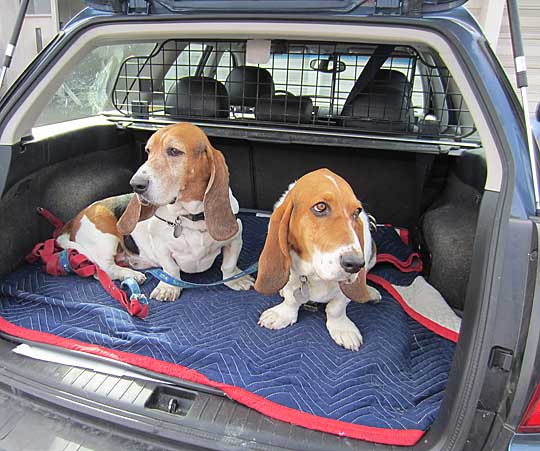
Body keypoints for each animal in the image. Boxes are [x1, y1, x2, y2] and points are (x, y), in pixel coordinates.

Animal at [56, 122, 254, 302]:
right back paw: (130, 275)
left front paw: (236, 278)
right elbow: (171, 269)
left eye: (174, 151)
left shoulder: (236, 237)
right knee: (104, 269)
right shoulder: (161, 246)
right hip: (105, 236)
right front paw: (168, 287)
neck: (189, 217)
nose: (136, 184)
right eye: (148, 151)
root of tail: (73, 221)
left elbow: (228, 264)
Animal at [255, 168, 382, 352]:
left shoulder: (344, 293)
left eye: (357, 212)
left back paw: (370, 292)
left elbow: (337, 308)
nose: (356, 264)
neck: (316, 275)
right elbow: (291, 299)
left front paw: (343, 329)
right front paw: (282, 314)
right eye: (320, 207)